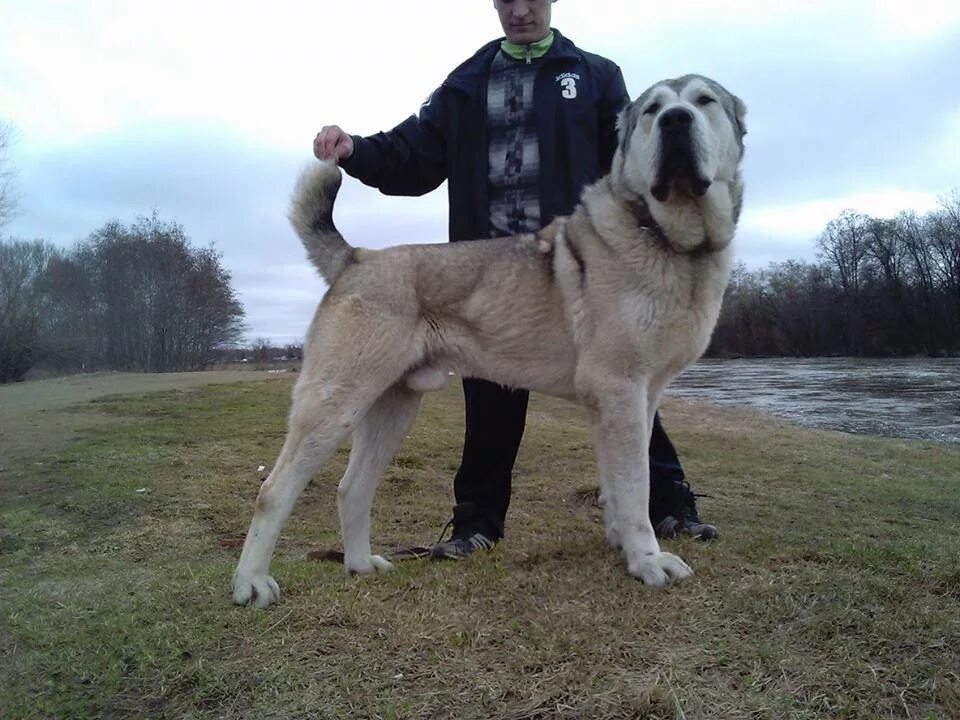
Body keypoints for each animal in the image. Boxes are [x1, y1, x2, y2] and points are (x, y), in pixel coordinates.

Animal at [232, 74, 744, 608]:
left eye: (704, 101)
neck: (668, 238)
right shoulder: (621, 390)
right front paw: (647, 560)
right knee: (274, 490)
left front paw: (625, 544)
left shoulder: (635, 400)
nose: (677, 120)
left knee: (352, 488)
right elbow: (635, 484)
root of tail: (358, 258)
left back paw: (358, 564)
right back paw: (251, 582)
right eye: (652, 111)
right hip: (335, 404)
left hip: (392, 407)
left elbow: (620, 484)